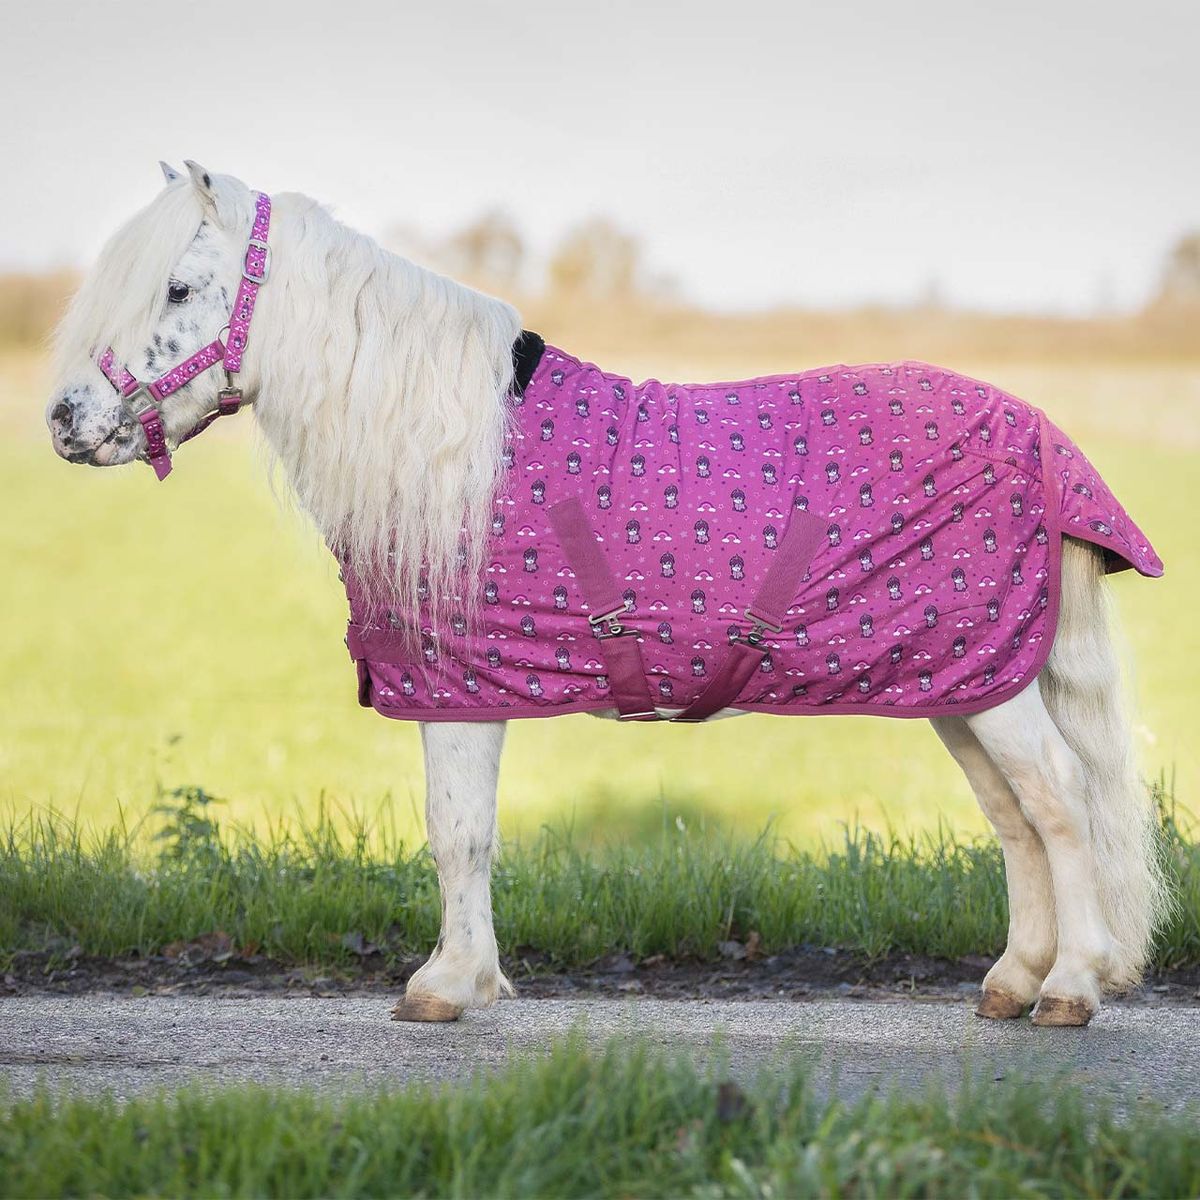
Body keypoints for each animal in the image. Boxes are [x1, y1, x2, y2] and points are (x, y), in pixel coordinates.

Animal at [51, 162, 1166, 1032]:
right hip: (959, 682)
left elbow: (456, 830)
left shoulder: (460, 689)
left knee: (1061, 799)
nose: (64, 422)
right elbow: (465, 832)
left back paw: (1068, 990)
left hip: (988, 683)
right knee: (1016, 816)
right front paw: (467, 978)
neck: (455, 452)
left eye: (178, 287)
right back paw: (1011, 982)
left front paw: (445, 985)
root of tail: (1044, 439)